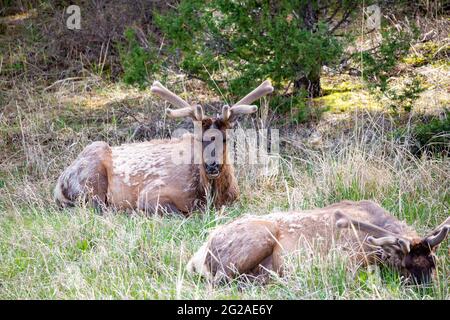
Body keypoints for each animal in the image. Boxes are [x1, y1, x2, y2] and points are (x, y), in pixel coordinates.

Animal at [54, 80, 274, 215]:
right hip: (90, 179)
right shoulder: (152, 192)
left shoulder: (235, 198)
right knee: (100, 207)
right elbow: (180, 213)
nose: (212, 166)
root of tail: (57, 186)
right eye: (199, 139)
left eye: (226, 139)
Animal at [188, 200, 448, 284]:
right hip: (259, 237)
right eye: (405, 266)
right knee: (218, 281)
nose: (426, 288)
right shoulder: (347, 261)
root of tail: (197, 256)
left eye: (433, 264)